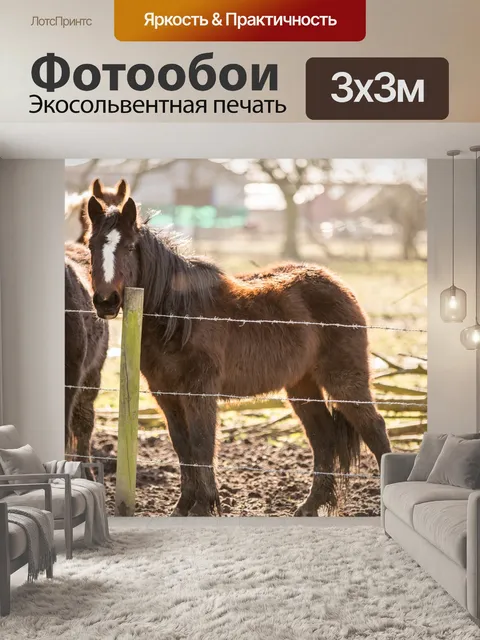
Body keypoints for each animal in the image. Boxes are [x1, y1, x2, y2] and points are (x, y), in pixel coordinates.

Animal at [86, 194, 392, 517]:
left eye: (130, 247)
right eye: (91, 245)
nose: (106, 302)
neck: (179, 316)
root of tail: (339, 285)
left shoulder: (199, 391)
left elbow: (202, 443)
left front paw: (203, 506)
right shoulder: (165, 394)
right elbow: (183, 447)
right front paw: (183, 506)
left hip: (344, 381)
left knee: (374, 429)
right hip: (302, 386)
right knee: (323, 437)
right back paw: (309, 505)